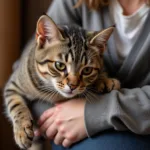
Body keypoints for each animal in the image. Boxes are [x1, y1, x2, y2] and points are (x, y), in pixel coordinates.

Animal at [3, 15, 120, 149]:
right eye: (59, 65)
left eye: (87, 70)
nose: (73, 86)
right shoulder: (12, 85)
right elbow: (16, 106)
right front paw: (22, 130)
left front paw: (104, 80)